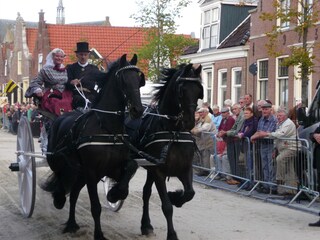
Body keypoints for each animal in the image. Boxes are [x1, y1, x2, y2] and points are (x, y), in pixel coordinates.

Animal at [42, 54, 144, 240]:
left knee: (74, 193)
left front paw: (114, 193)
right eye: (123, 79)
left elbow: (131, 168)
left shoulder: (112, 168)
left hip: (80, 172)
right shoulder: (91, 171)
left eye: (139, 79)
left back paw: (71, 223)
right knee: (59, 177)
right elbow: (95, 207)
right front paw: (99, 234)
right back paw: (59, 198)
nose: (137, 110)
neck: (107, 128)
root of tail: (60, 118)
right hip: (58, 160)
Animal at [137, 63, 202, 240]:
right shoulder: (159, 171)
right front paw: (172, 235)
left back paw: (146, 225)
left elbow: (190, 193)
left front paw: (176, 197)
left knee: (146, 192)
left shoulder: (185, 168)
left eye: (199, 90)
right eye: (182, 90)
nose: (189, 121)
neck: (173, 131)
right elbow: (167, 207)